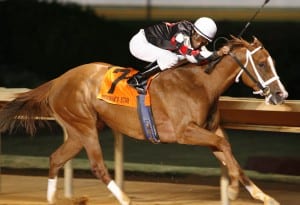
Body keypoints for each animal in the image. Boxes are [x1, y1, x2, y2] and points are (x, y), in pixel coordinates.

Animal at [0, 36, 288, 204]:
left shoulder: (210, 131)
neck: (201, 83)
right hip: (85, 126)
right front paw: (232, 191)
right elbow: (226, 148)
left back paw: (52, 199)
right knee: (97, 166)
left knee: (56, 158)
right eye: (262, 64)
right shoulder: (185, 132)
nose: (281, 94)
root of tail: (58, 80)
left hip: (77, 131)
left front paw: (261, 195)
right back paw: (125, 198)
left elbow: (229, 155)